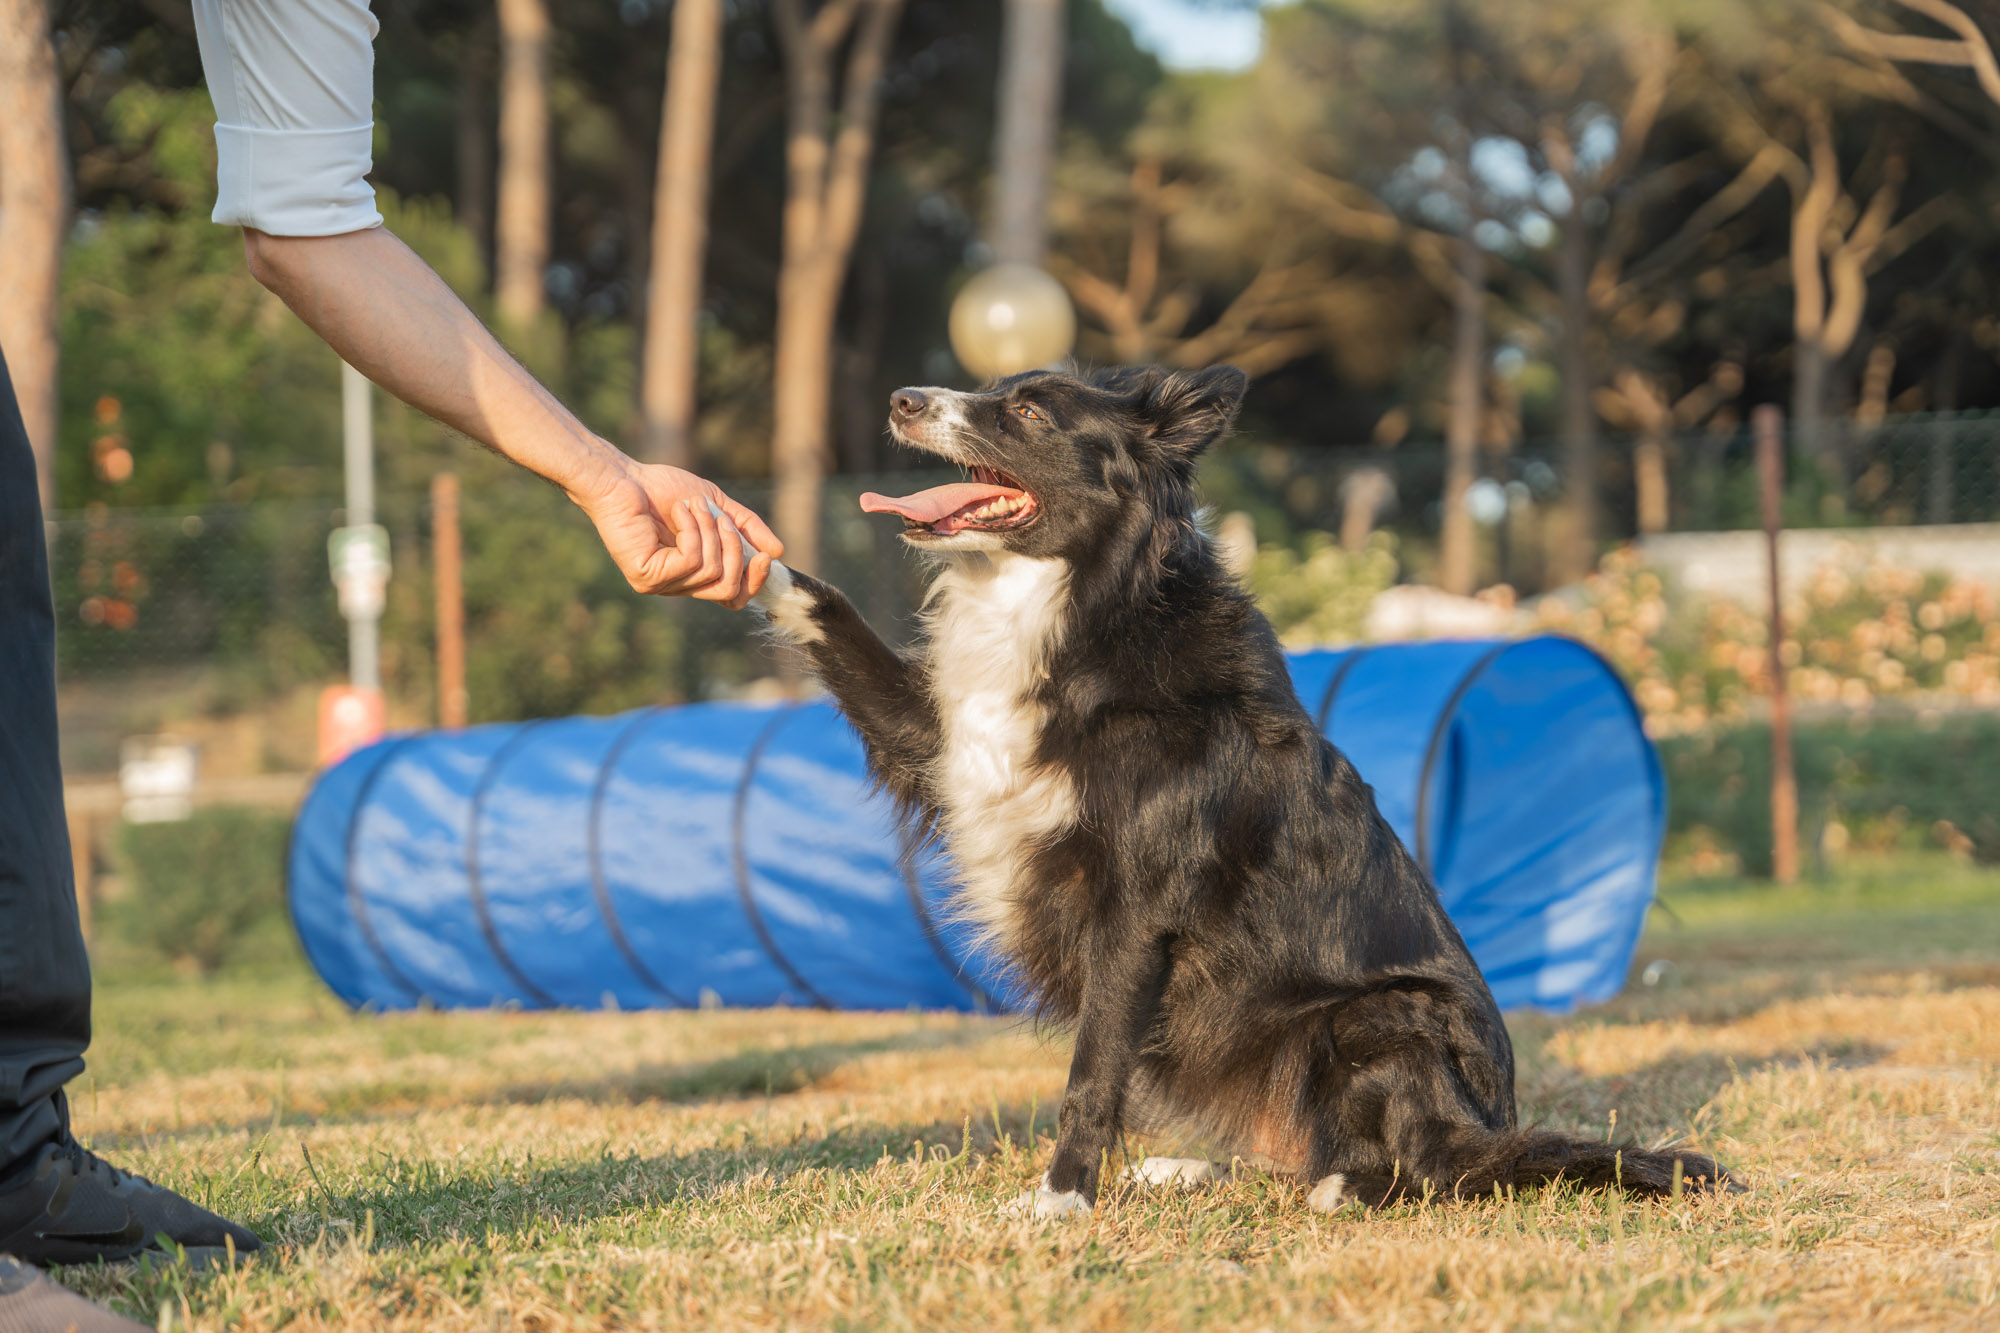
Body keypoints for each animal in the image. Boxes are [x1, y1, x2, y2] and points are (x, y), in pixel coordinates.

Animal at [748, 364, 1720, 1216]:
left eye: (1026, 412)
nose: (902, 399)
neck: (1087, 601)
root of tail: (1494, 1123)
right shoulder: (948, 746)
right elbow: (830, 612)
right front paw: (741, 550)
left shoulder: (1135, 907)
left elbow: (1091, 1071)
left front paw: (1061, 1200)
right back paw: (1193, 1169)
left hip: (1378, 1016)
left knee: (1433, 1166)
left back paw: (1347, 1188)